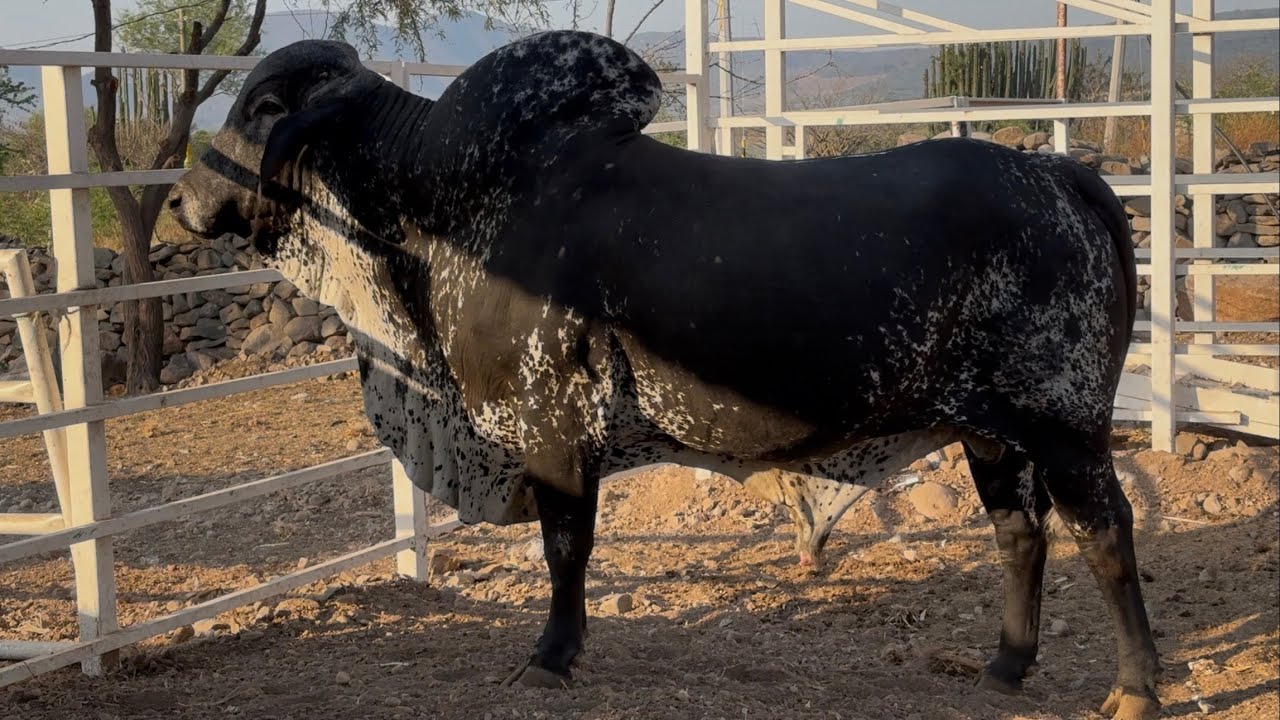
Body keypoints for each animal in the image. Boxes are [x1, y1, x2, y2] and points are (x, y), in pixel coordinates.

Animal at [166, 31, 1159, 720]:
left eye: (262, 106)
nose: (181, 201)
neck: (446, 201)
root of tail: (1058, 173)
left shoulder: (553, 425)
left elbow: (566, 548)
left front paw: (551, 656)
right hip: (990, 434)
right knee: (1020, 537)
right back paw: (1004, 666)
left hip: (1066, 427)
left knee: (1107, 536)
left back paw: (1137, 687)